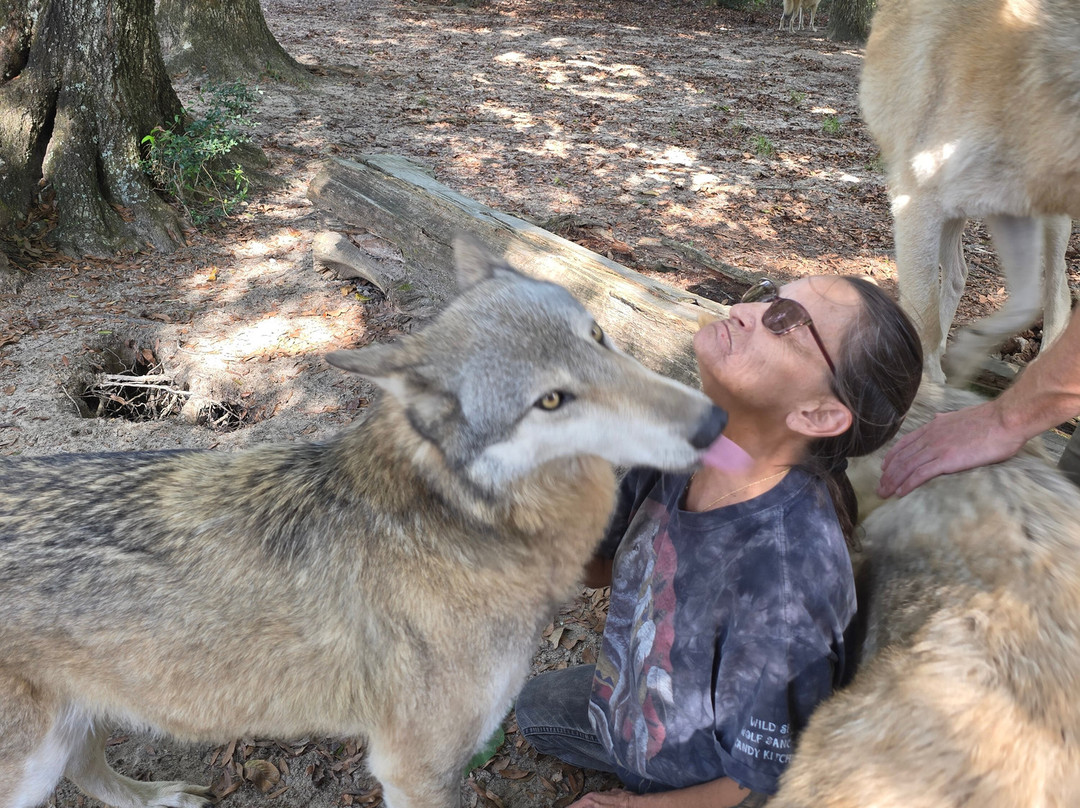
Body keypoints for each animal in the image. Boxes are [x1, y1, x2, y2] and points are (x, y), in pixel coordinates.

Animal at [0, 236, 726, 808]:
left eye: (598, 337)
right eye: (551, 400)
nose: (714, 421)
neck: (462, 519)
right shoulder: (415, 769)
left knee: (90, 769)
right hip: (33, 764)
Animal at [860, 0, 1080, 384]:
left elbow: (1025, 302)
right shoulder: (917, 205)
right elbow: (927, 317)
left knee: (1056, 290)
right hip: (954, 213)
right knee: (960, 275)